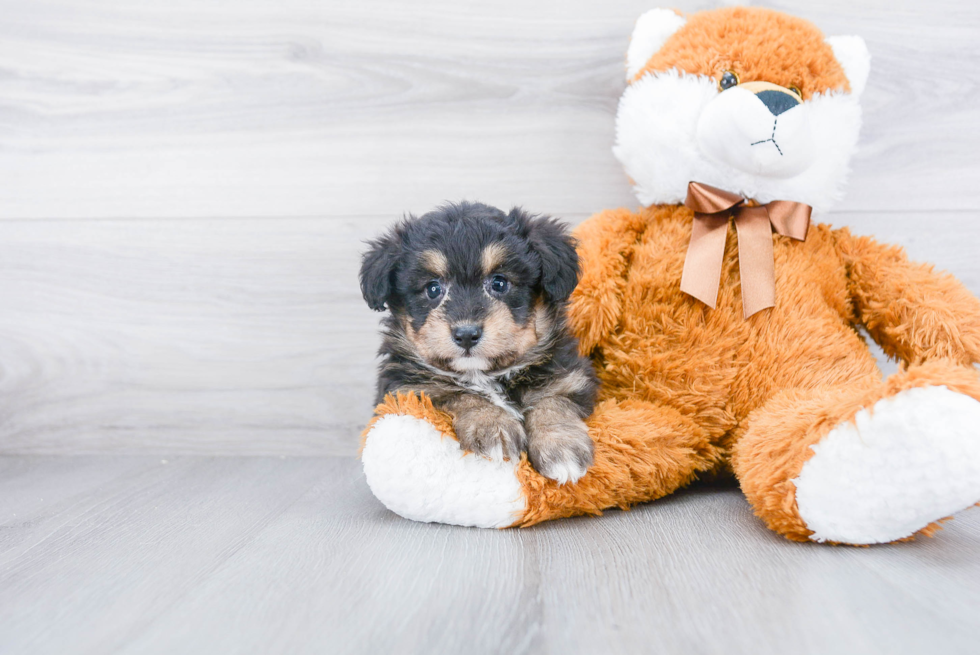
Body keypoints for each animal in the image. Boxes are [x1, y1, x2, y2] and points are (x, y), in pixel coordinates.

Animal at [356, 202, 592, 484]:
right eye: (433, 289)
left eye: (499, 283)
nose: (466, 334)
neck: (483, 374)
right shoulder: (407, 389)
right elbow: (459, 393)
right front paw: (492, 426)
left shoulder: (569, 374)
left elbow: (552, 399)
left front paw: (562, 446)